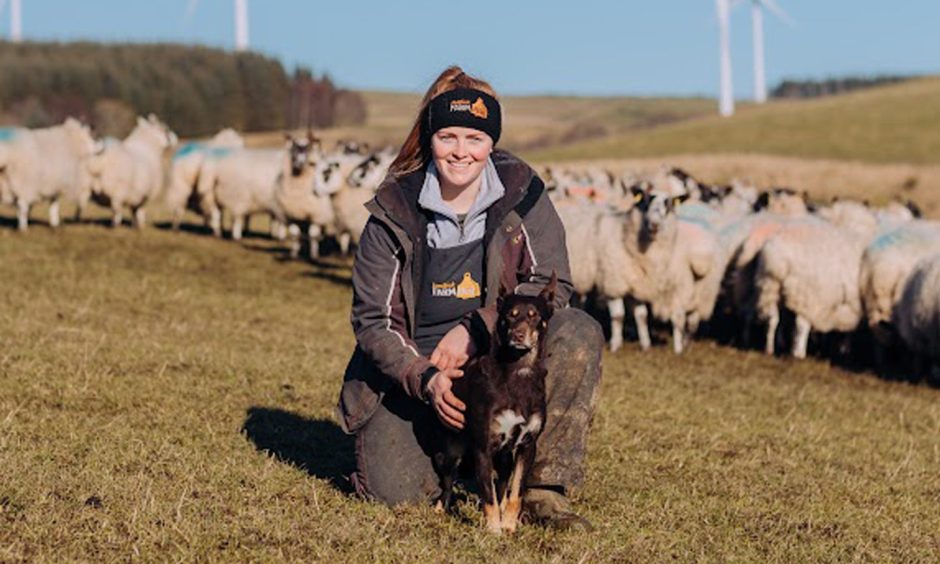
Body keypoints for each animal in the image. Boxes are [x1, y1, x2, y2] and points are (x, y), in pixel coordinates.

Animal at [436, 272, 560, 532]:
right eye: (509, 316)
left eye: (535, 316)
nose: (518, 335)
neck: (518, 372)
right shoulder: (482, 449)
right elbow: (488, 495)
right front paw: (493, 531)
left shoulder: (526, 446)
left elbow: (515, 493)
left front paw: (509, 526)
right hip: (452, 451)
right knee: (448, 483)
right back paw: (440, 510)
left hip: (504, 458)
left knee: (502, 485)